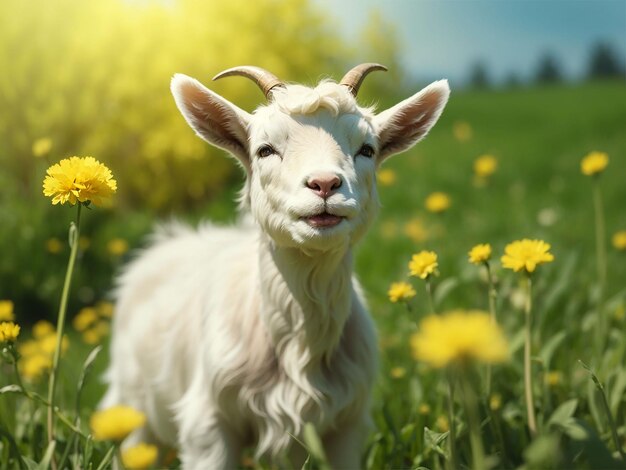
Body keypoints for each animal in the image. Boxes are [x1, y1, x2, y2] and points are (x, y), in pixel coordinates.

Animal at [102, 63, 446, 470]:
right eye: (265, 150)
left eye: (367, 149)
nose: (325, 183)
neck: (300, 344)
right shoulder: (208, 425)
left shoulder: (345, 427)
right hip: (132, 403)